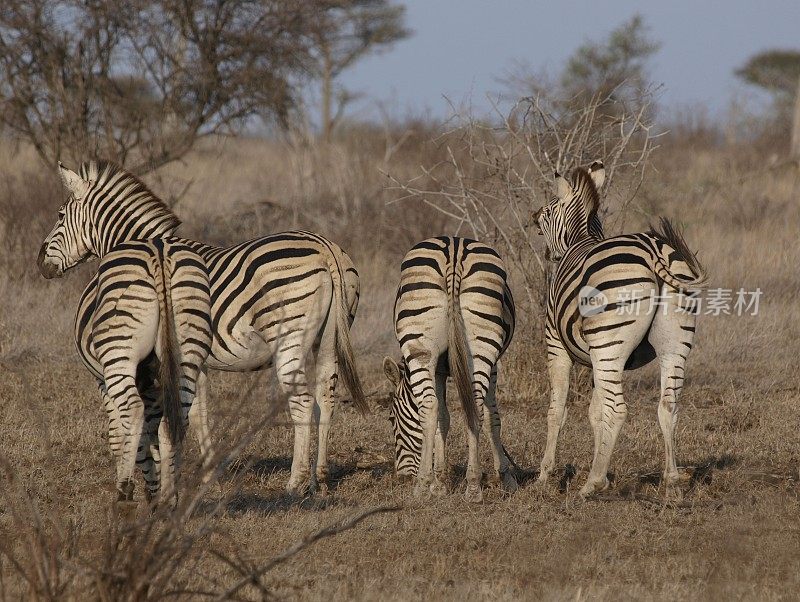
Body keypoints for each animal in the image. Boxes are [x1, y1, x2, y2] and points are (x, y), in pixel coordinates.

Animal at [39, 232, 212, 504]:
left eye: (59, 221)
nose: (40, 263)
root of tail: (159, 251)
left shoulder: (103, 380)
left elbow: (120, 434)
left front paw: (141, 483)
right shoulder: (159, 383)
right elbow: (154, 431)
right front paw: (160, 487)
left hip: (118, 354)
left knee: (133, 410)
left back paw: (124, 491)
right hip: (187, 351)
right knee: (174, 422)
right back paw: (168, 499)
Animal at [382, 234, 520, 502]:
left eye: (391, 418)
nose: (401, 477)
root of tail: (454, 250)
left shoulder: (445, 368)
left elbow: (454, 418)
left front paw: (440, 481)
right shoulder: (468, 366)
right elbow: (477, 416)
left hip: (423, 347)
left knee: (433, 406)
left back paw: (426, 484)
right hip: (477, 346)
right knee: (469, 406)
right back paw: (471, 486)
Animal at [536, 161, 704, 496]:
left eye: (547, 212)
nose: (534, 217)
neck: (580, 238)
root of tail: (653, 249)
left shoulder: (556, 344)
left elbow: (557, 411)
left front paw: (544, 475)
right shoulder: (599, 360)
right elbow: (595, 413)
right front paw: (600, 460)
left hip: (609, 344)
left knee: (618, 409)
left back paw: (592, 484)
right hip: (673, 342)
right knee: (668, 406)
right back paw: (671, 481)